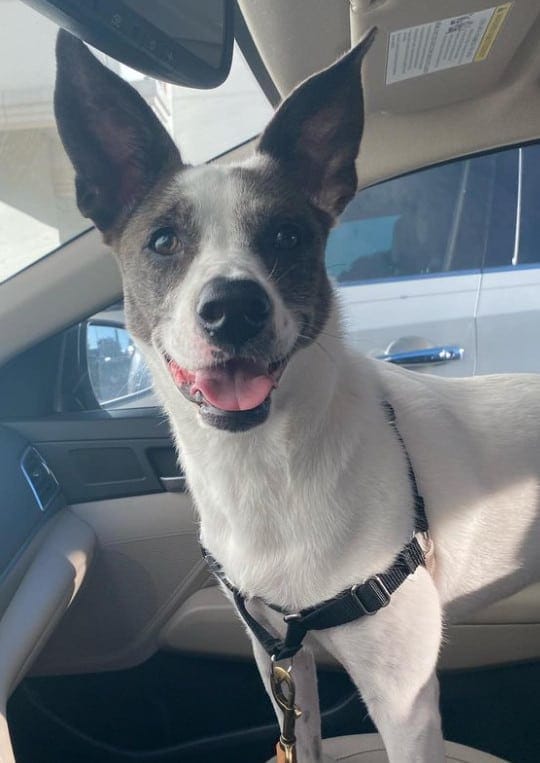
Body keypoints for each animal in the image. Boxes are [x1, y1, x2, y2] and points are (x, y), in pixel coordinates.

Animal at [54, 29, 540, 763]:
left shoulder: (404, 703)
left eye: (286, 235)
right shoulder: (280, 655)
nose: (234, 308)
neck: (267, 469)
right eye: (164, 240)